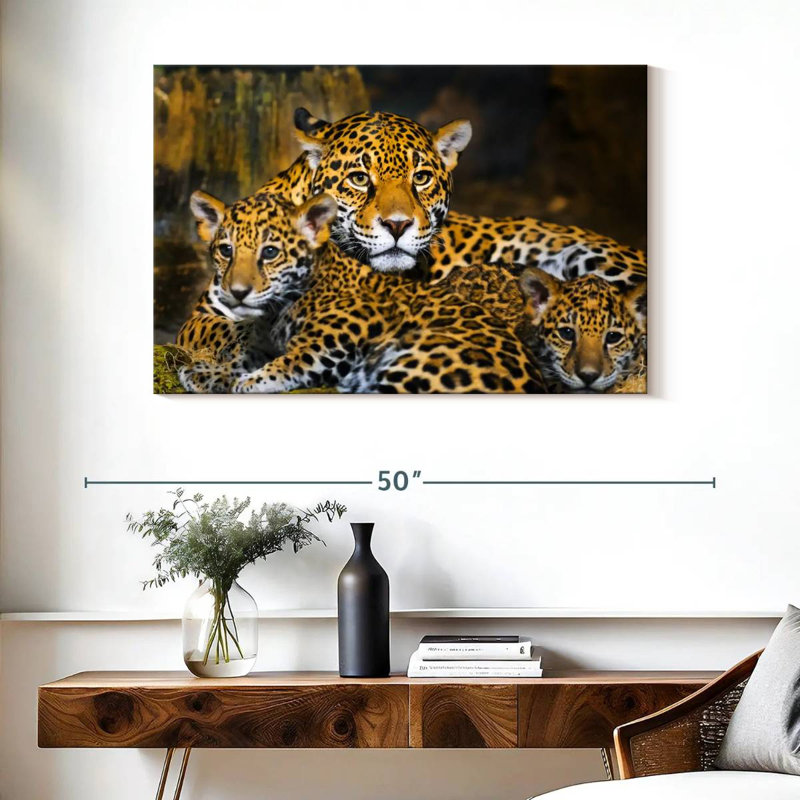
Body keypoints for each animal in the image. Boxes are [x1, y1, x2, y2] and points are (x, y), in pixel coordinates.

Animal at [179, 190, 546, 394]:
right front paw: (205, 374)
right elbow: (243, 357)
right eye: (226, 250)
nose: (238, 292)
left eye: (269, 252)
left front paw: (252, 381)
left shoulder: (339, 335)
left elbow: (293, 360)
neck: (274, 314)